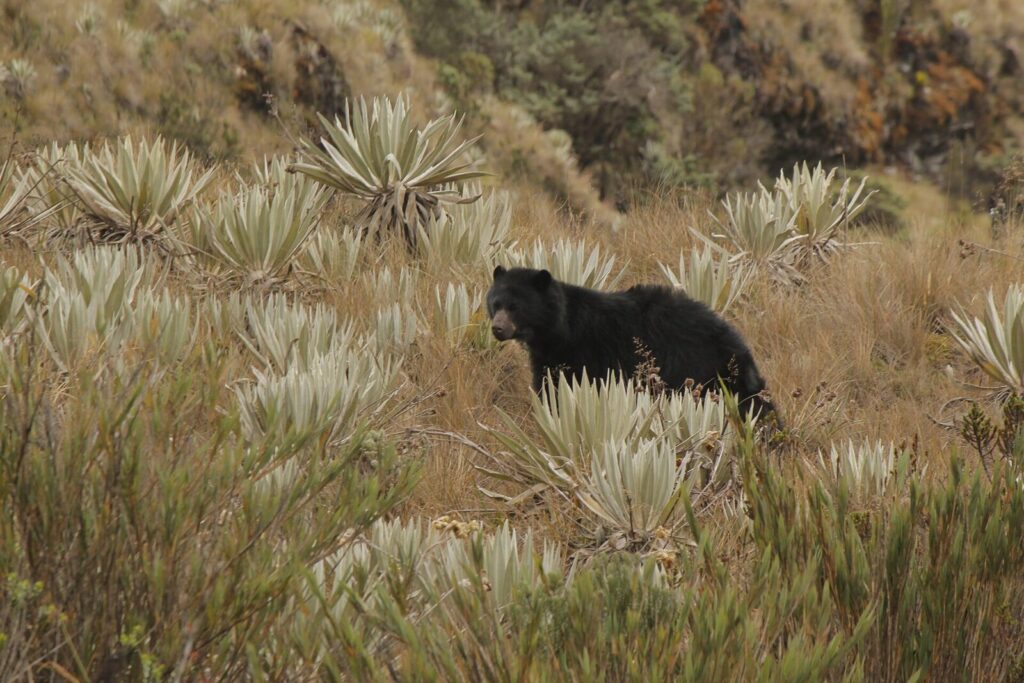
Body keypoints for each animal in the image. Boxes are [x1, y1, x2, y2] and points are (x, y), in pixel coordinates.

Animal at [486, 265, 778, 421]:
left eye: (515, 307)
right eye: (495, 304)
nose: (498, 329)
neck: (558, 330)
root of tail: (738, 346)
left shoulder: (583, 353)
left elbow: (559, 388)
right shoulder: (548, 355)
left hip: (700, 371)